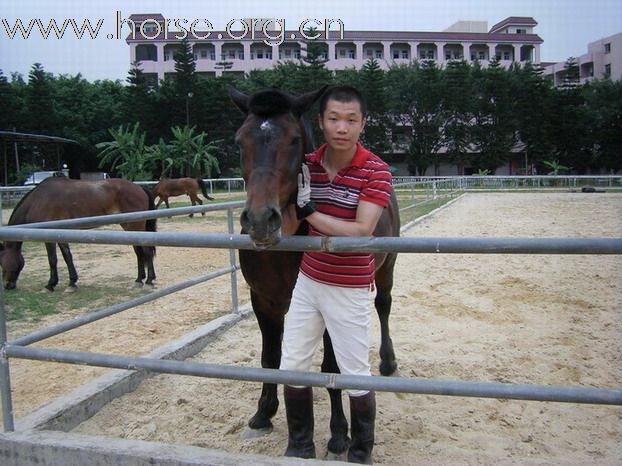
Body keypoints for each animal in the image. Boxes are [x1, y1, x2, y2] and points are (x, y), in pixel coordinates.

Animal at [1, 177, 157, 292]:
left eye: (1, 263)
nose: (8, 285)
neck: (38, 200)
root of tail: (140, 188)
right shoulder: (60, 234)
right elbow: (67, 256)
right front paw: (72, 283)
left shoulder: (48, 236)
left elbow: (53, 259)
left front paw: (50, 285)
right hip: (129, 226)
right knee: (138, 251)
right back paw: (139, 280)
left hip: (135, 225)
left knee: (146, 251)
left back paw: (149, 281)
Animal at [232, 85, 402, 456]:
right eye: (240, 140)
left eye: (294, 139)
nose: (261, 220)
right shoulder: (262, 302)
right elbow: (270, 358)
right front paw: (263, 413)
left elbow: (330, 367)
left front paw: (339, 434)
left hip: (388, 267)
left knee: (383, 306)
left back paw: (387, 363)